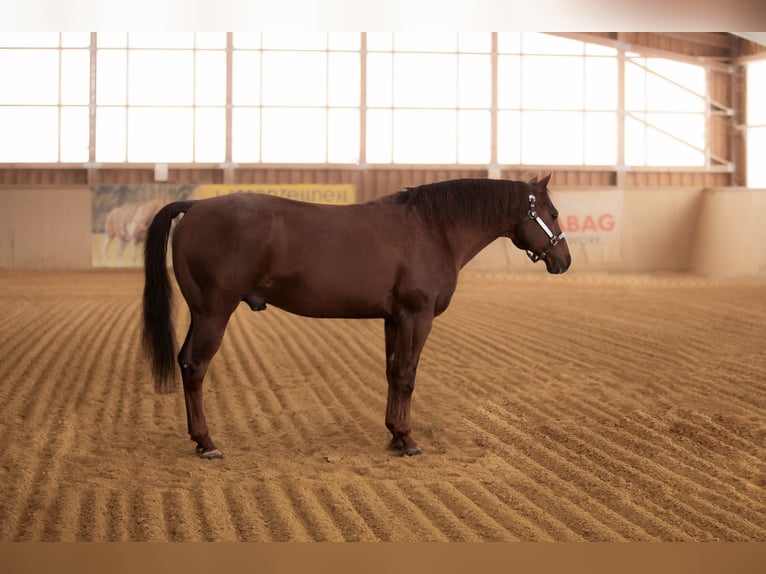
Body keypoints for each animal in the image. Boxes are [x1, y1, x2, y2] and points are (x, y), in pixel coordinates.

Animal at [142, 175, 570, 459]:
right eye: (552, 212)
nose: (564, 261)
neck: (431, 230)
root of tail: (195, 206)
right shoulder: (417, 316)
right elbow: (407, 375)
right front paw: (408, 440)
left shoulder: (394, 319)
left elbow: (393, 372)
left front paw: (394, 435)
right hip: (214, 312)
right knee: (195, 367)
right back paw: (207, 443)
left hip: (200, 313)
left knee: (185, 362)